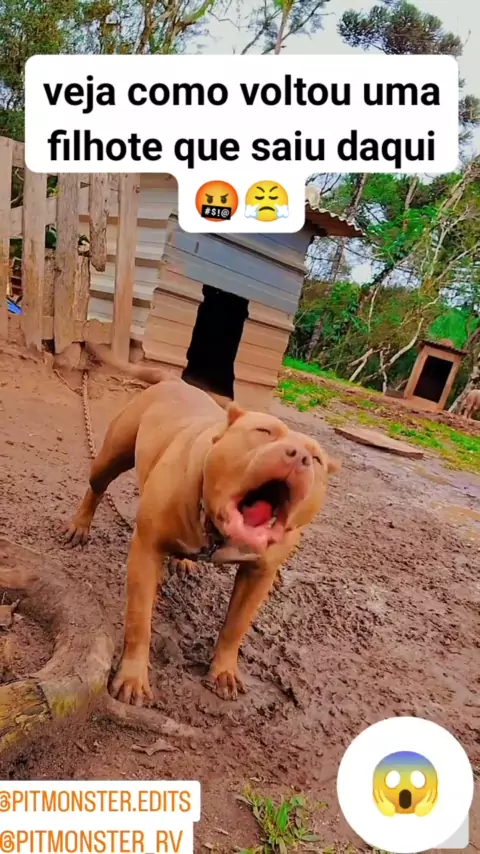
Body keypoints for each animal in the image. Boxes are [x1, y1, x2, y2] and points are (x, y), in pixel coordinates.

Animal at [64, 345, 340, 706]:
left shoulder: (259, 574)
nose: (300, 456)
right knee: (96, 488)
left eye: (317, 459)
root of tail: (174, 381)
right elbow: (139, 621)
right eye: (263, 432)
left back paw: (184, 561)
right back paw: (80, 526)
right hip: (111, 456)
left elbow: (236, 626)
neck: (215, 528)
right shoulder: (146, 549)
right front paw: (133, 679)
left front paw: (223, 671)